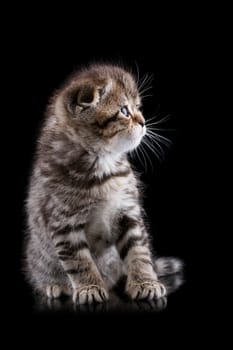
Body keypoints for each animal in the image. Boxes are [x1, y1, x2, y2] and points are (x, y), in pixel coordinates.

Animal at [25, 63, 182, 304]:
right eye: (124, 111)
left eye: (138, 108)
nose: (143, 122)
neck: (103, 166)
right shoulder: (64, 222)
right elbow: (79, 261)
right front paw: (89, 287)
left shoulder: (128, 211)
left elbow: (139, 251)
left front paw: (146, 282)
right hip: (38, 254)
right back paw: (54, 284)